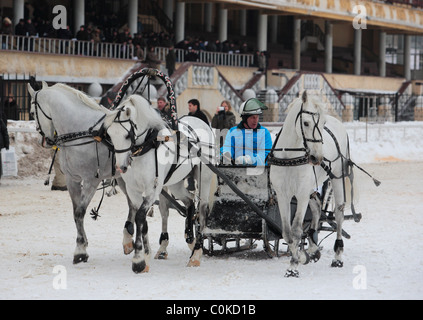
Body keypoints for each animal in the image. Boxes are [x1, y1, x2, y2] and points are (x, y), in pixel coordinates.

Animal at [26, 82, 138, 264]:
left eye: (31, 112)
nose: (42, 141)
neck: (82, 132)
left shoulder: (91, 180)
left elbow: (80, 212)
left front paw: (80, 250)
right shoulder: (72, 180)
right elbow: (75, 212)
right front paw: (82, 246)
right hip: (123, 178)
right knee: (133, 205)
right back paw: (128, 241)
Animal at [102, 94, 215, 272]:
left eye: (127, 136)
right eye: (110, 134)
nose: (120, 167)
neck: (147, 146)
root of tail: (201, 121)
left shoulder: (152, 189)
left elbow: (140, 216)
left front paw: (138, 260)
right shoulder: (133, 190)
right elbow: (142, 220)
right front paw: (145, 256)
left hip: (204, 177)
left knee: (202, 210)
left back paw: (196, 254)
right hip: (175, 182)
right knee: (189, 201)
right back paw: (189, 236)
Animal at [270, 90, 360, 278]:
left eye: (323, 123)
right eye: (306, 122)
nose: (317, 157)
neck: (290, 157)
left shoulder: (302, 194)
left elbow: (296, 231)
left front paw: (293, 266)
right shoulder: (283, 195)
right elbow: (287, 233)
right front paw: (301, 256)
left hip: (337, 178)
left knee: (338, 213)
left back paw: (337, 256)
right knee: (318, 207)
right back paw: (312, 247)